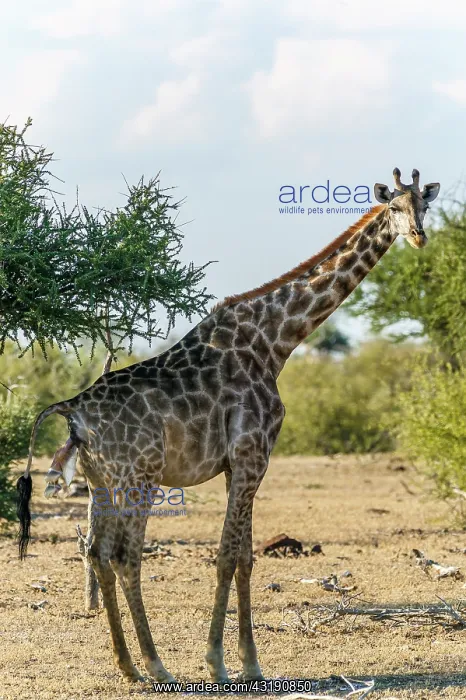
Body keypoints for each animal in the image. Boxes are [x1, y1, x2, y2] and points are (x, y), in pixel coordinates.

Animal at [17, 168, 440, 684]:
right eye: (393, 206)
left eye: (424, 205)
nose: (418, 236)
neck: (276, 342)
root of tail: (72, 410)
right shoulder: (252, 456)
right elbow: (224, 557)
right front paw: (218, 661)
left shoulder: (237, 464)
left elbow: (245, 559)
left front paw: (251, 662)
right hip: (140, 476)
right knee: (124, 555)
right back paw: (157, 666)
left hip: (100, 482)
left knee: (96, 552)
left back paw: (128, 666)